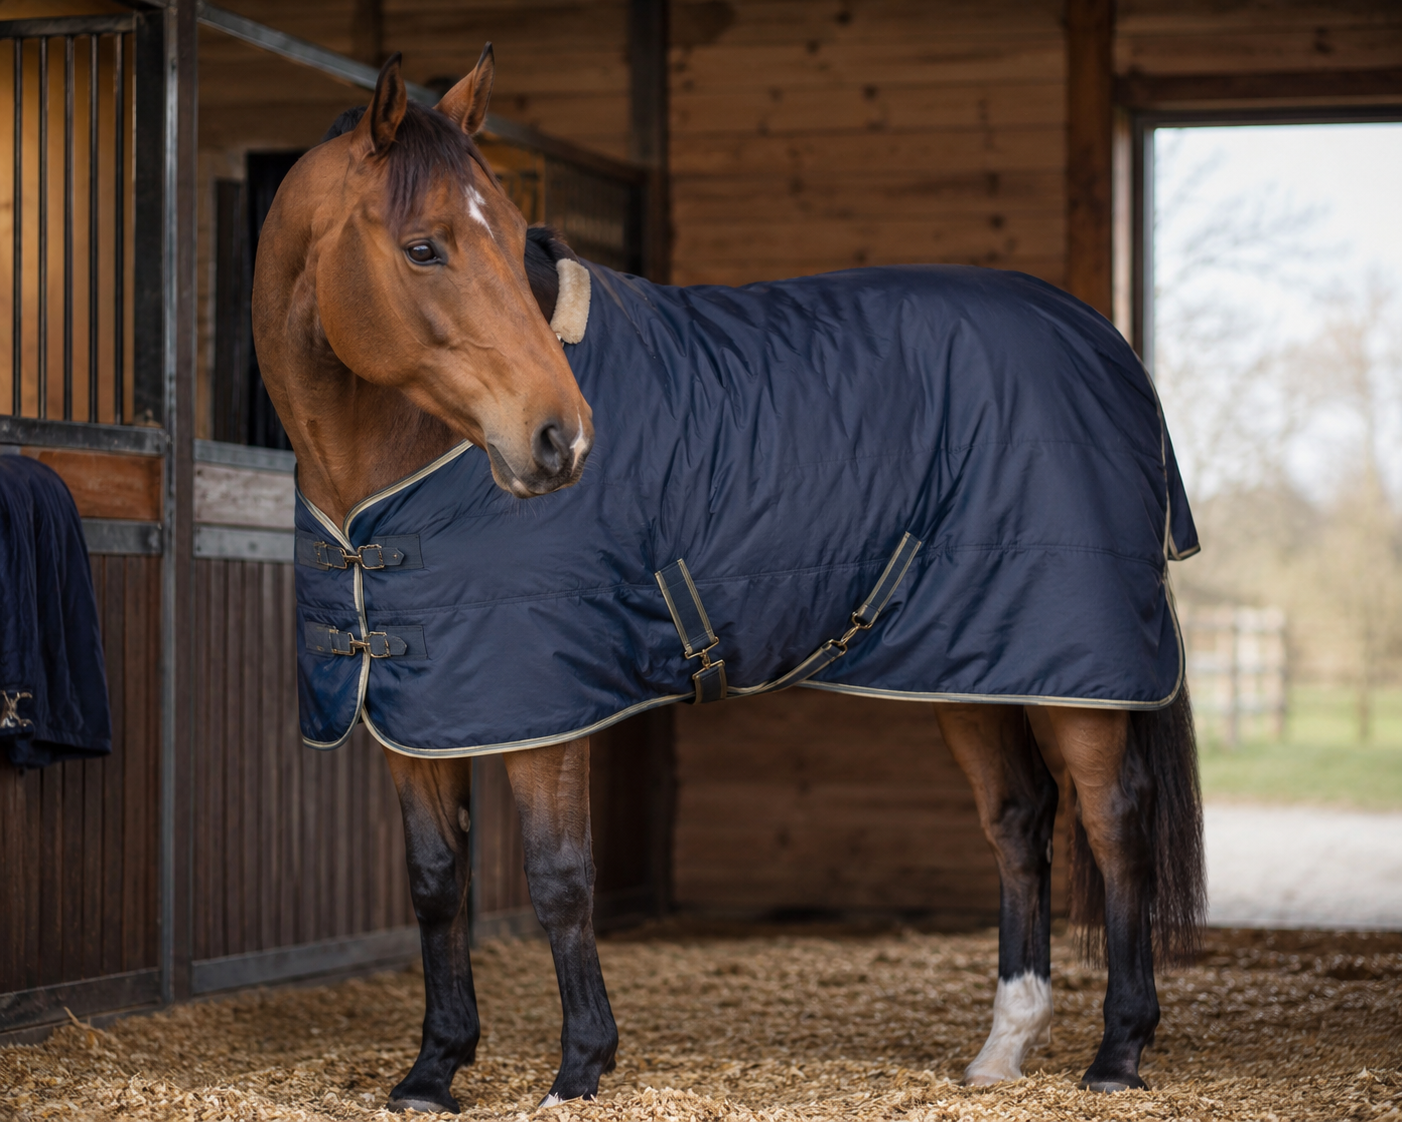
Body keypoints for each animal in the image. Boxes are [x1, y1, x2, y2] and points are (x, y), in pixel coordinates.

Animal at [251, 48, 1206, 1115]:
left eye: (505, 227)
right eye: (424, 248)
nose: (561, 438)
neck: (387, 484)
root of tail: (1103, 344)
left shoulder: (547, 710)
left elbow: (559, 876)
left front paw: (580, 1067)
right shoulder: (414, 713)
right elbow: (433, 882)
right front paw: (432, 1069)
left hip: (1073, 667)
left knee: (1113, 821)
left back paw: (1118, 1051)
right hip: (973, 662)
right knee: (1017, 820)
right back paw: (1004, 1048)